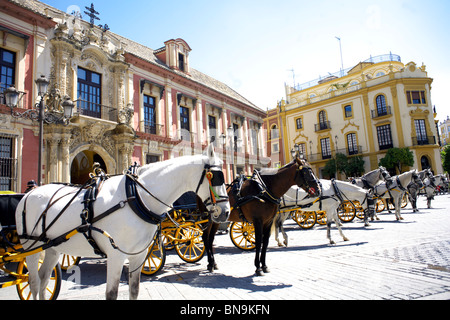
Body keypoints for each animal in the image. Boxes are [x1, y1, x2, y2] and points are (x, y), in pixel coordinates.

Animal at [15, 145, 230, 300]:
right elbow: (111, 293)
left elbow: (134, 290)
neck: (135, 196)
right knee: (33, 282)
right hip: (31, 247)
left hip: (52, 248)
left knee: (44, 279)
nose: (226, 212)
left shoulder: (138, 254)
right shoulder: (116, 255)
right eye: (214, 176)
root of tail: (27, 195)